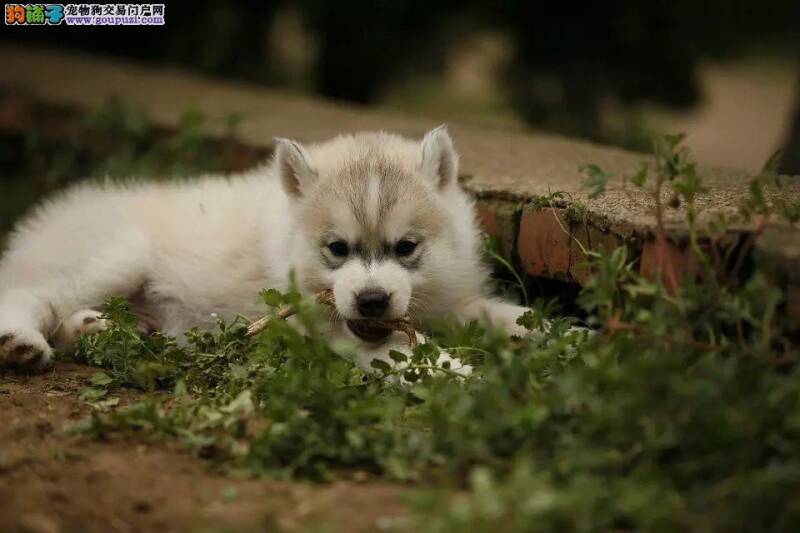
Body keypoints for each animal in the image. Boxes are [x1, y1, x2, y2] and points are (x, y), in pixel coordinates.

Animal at [0, 126, 532, 370]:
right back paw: (22, 343)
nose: (372, 301)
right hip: (112, 258)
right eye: (337, 248)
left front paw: (543, 331)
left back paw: (98, 330)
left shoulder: (446, 300)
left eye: (405, 247)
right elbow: (405, 354)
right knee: (29, 295)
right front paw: (459, 375)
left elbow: (493, 313)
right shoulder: (321, 333)